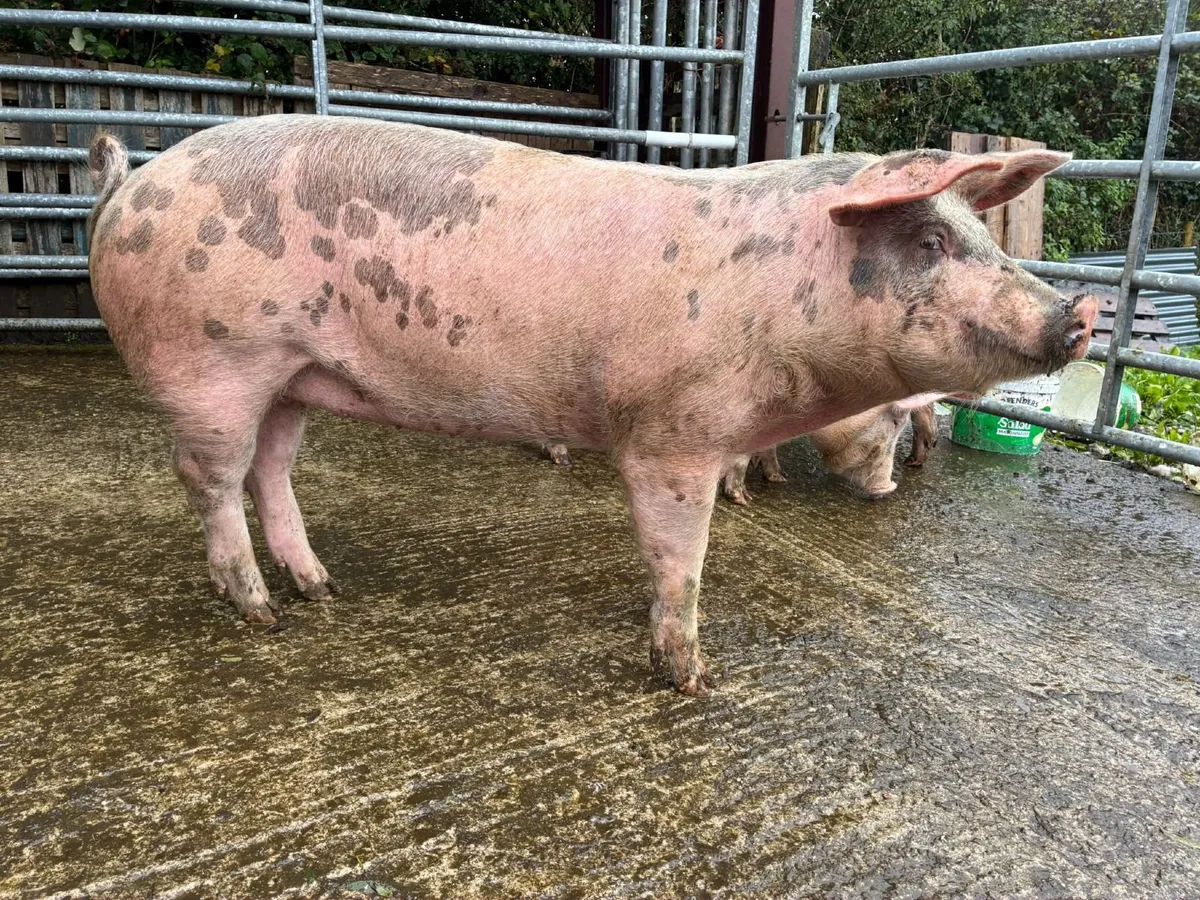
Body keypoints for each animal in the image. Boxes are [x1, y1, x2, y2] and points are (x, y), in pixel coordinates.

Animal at [86, 115, 1097, 695]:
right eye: (929, 241)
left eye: (981, 239)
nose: (1079, 313)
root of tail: (128, 183)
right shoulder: (672, 433)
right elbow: (679, 560)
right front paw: (691, 682)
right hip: (212, 363)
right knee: (211, 480)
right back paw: (259, 612)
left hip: (292, 376)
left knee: (273, 470)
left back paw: (320, 587)